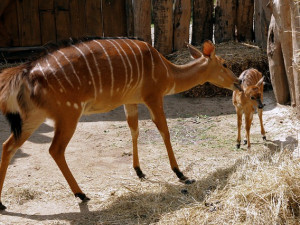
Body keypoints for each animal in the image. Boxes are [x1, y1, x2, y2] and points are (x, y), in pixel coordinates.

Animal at [0, 37, 240, 209]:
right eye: (225, 63)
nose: (238, 81)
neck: (167, 72)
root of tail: (25, 72)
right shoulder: (154, 97)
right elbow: (164, 131)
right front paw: (181, 174)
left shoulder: (130, 101)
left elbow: (134, 130)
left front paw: (139, 171)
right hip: (68, 114)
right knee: (55, 149)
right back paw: (82, 194)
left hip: (34, 118)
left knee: (8, 146)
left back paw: (2, 204)